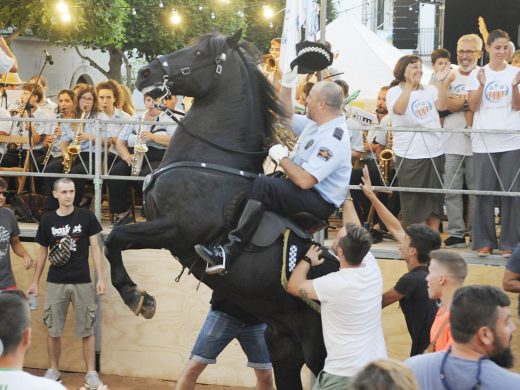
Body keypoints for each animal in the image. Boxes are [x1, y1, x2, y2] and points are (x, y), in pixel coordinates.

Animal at [105, 31, 334, 390]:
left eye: (199, 53)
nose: (145, 73)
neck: (210, 163)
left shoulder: (175, 230)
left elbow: (114, 237)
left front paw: (136, 296)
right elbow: (113, 239)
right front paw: (137, 294)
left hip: (321, 352)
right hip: (283, 346)